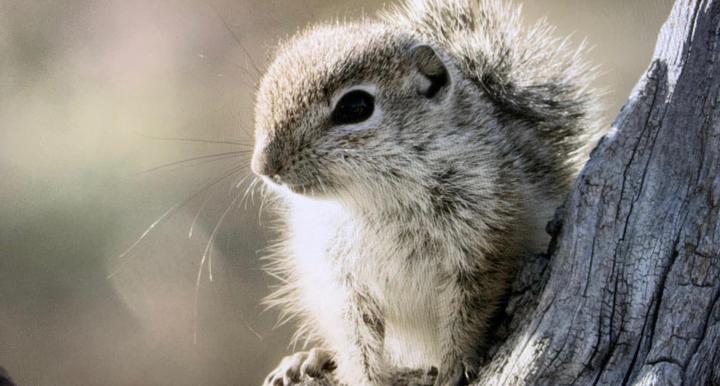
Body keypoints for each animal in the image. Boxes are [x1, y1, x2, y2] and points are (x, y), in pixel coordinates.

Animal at [250, 0, 600, 386]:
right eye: (264, 94)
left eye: (355, 107)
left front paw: (454, 367)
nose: (263, 166)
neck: (375, 196)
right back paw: (308, 359)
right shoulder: (340, 279)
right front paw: (362, 375)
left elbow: (469, 314)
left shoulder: (485, 245)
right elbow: (355, 335)